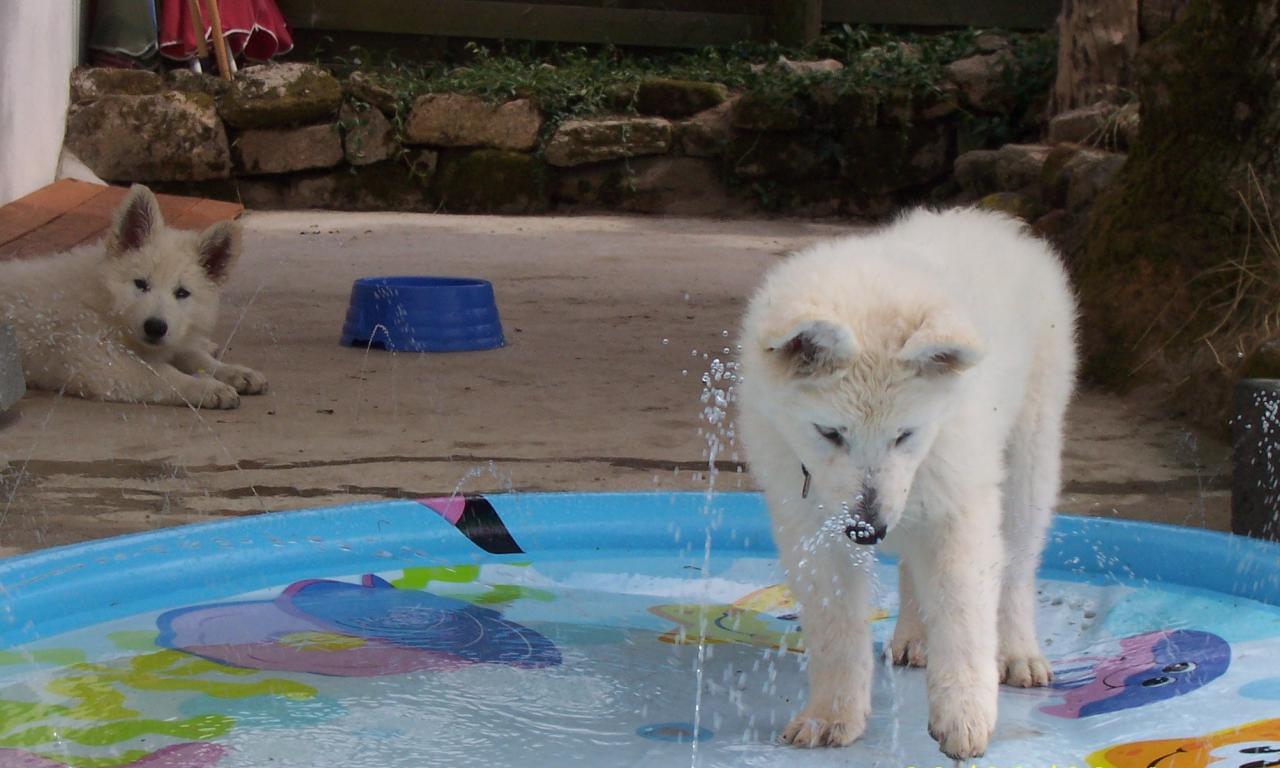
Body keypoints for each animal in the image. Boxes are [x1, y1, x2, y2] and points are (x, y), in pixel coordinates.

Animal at [0, 185, 264, 407]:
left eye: (182, 293)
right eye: (140, 284)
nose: (155, 327)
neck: (105, 302)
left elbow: (193, 356)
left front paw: (235, 372)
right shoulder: (101, 363)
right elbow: (162, 375)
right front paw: (207, 388)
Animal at [737, 207, 1075, 757]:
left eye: (905, 435)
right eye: (830, 433)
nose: (868, 531)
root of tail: (993, 220)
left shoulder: (960, 500)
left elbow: (963, 609)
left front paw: (964, 715)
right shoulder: (809, 517)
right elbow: (835, 626)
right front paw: (831, 716)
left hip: (1032, 445)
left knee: (1018, 563)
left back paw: (1018, 653)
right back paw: (915, 636)